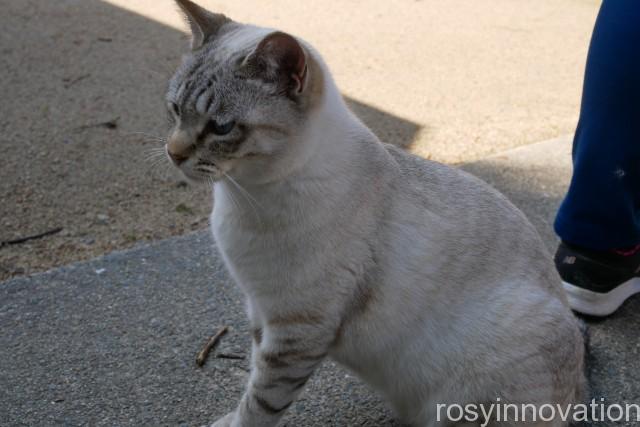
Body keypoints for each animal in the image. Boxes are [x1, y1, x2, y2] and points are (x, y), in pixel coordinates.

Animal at [164, 1, 584, 426]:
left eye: (221, 127)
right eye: (175, 109)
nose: (173, 153)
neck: (244, 197)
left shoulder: (297, 332)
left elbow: (260, 401)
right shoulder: (259, 311)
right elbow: (251, 378)